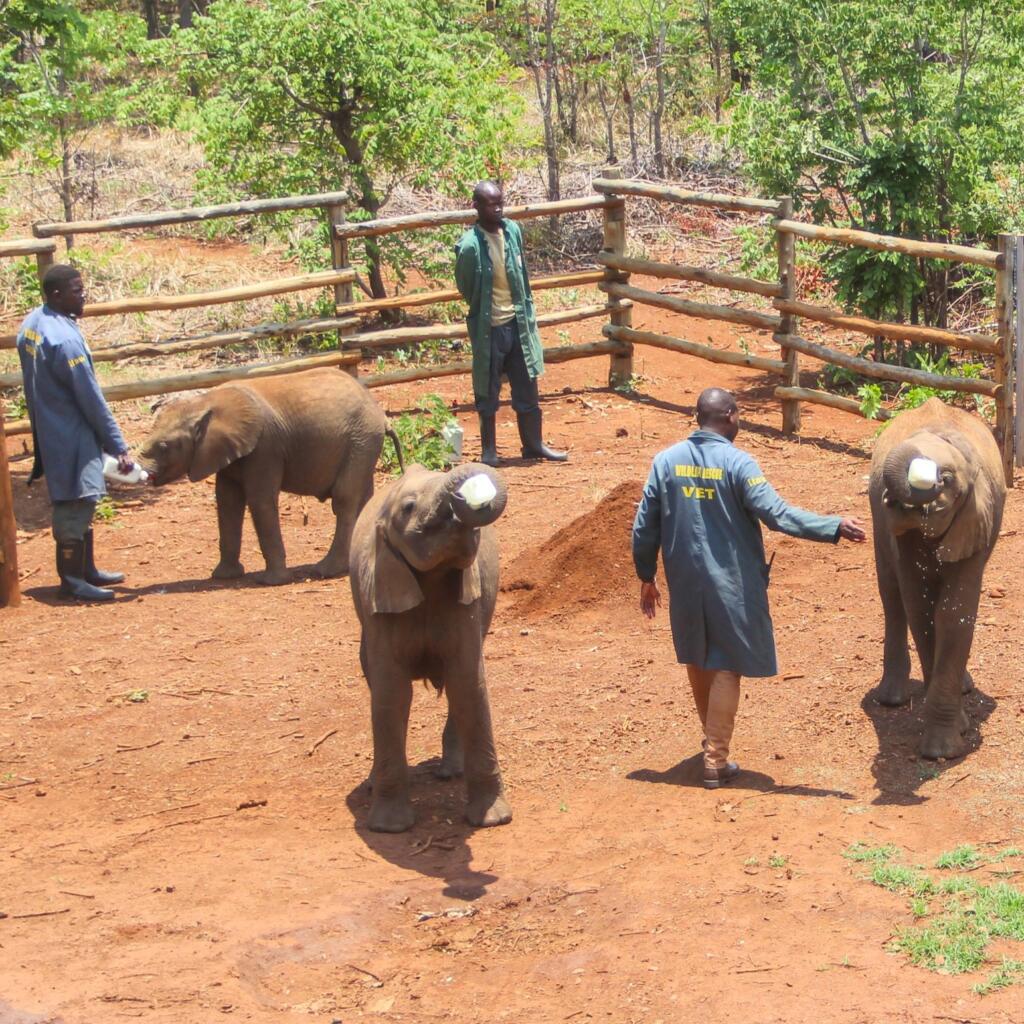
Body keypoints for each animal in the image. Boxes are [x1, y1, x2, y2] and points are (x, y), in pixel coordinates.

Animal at [140, 368, 402, 585]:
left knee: (344, 499)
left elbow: (260, 501)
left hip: (361, 439)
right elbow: (227, 502)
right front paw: (224, 576)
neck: (205, 401)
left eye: (163, 446)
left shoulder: (265, 448)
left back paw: (327, 570)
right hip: (364, 444)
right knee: (362, 497)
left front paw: (271, 581)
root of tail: (381, 414)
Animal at [349, 461, 512, 833]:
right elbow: (391, 693)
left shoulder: (467, 598)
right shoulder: (382, 592)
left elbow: (468, 684)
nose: (464, 499)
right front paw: (390, 828)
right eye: (409, 507)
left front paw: (494, 820)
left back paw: (452, 771)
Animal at [869, 397, 1006, 759]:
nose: (891, 494)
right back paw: (892, 699)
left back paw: (964, 687)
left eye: (945, 478)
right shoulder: (899, 532)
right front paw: (952, 735)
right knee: (891, 596)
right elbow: (921, 609)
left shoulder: (975, 519)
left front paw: (943, 751)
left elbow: (953, 613)